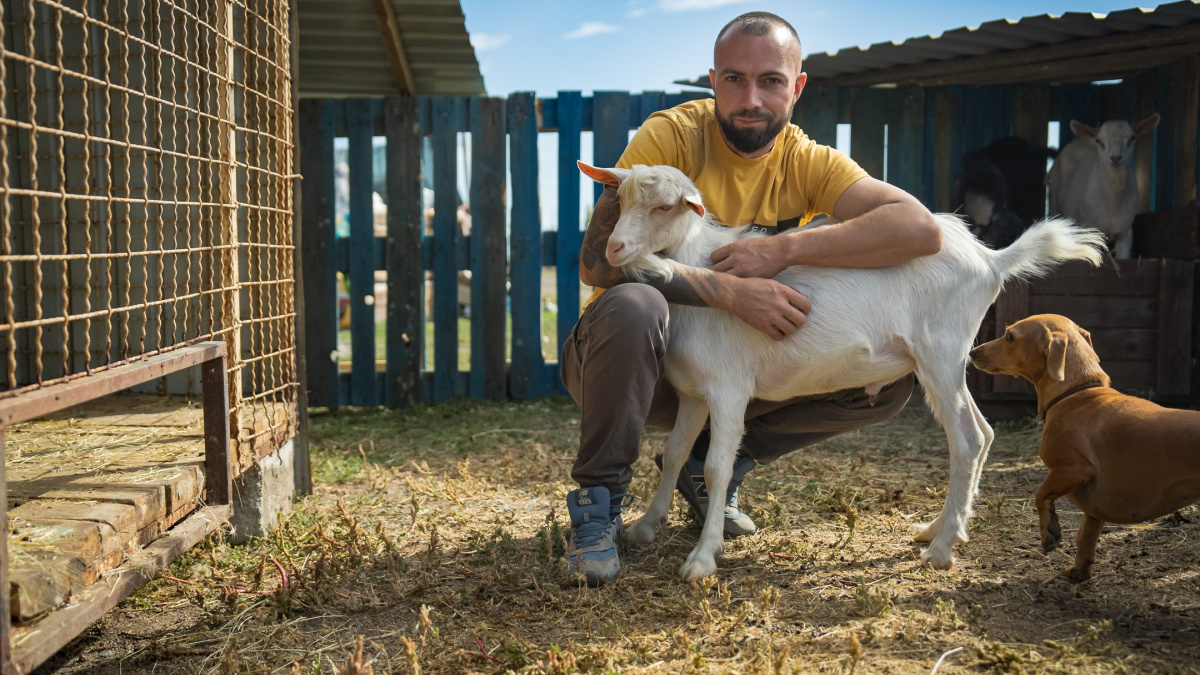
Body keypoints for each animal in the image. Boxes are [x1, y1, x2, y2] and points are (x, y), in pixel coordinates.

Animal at [580, 162, 1104, 578]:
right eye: (620, 200)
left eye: (666, 207)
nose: (615, 248)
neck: (698, 271)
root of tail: (990, 258)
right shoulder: (694, 394)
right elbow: (673, 453)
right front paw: (646, 525)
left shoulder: (729, 388)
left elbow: (715, 466)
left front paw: (703, 558)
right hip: (947, 362)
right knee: (984, 431)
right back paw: (941, 529)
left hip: (942, 351)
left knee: (969, 438)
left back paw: (940, 550)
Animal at [969, 312, 1200, 578]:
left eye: (1009, 336)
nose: (972, 353)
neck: (1076, 394)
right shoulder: (1093, 512)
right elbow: (1085, 539)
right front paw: (1079, 572)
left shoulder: (1074, 469)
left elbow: (1040, 494)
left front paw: (1049, 530)